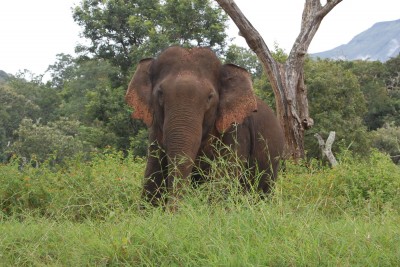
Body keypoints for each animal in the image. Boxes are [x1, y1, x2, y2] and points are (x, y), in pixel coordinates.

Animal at [125, 46, 284, 209]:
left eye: (209, 97)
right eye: (160, 93)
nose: (176, 209)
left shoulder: (236, 130)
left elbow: (223, 179)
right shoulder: (155, 129)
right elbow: (153, 175)